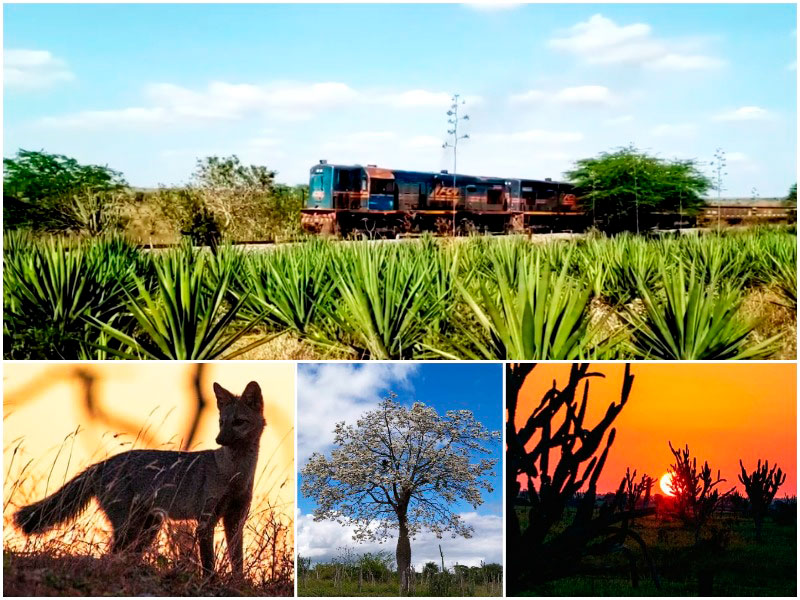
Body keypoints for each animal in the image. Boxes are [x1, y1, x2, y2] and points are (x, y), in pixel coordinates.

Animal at [13, 380, 266, 576]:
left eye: (238, 422)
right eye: (222, 423)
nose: (218, 440)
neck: (235, 476)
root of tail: (100, 465)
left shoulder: (235, 519)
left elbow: (238, 563)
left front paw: (239, 585)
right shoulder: (205, 521)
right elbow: (209, 564)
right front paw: (212, 584)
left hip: (148, 528)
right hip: (131, 528)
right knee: (109, 557)